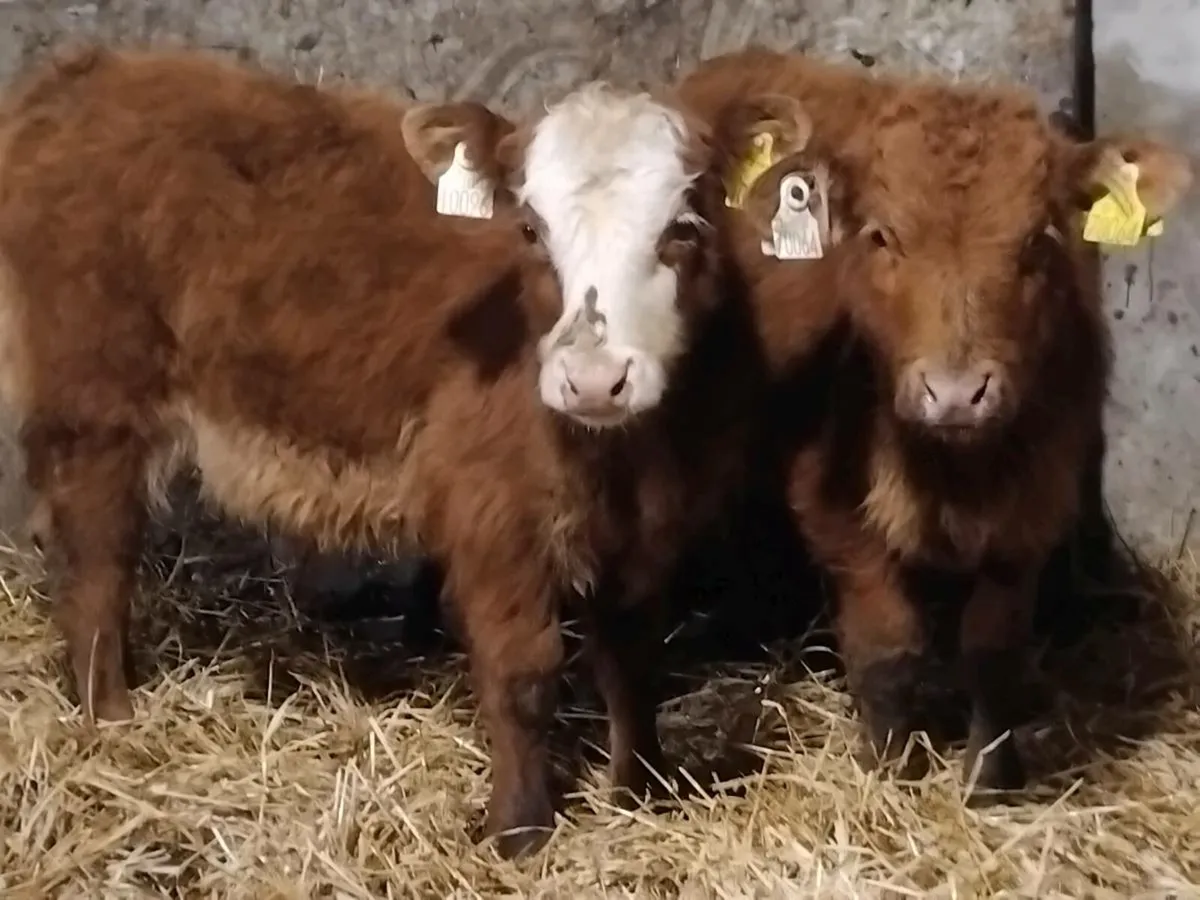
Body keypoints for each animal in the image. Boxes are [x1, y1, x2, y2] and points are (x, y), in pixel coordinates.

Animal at [0, 44, 812, 857]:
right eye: (529, 229)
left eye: (684, 227)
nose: (591, 379)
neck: (622, 456)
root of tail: (89, 71)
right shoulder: (492, 508)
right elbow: (523, 671)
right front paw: (518, 830)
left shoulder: (655, 517)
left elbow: (633, 655)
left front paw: (641, 791)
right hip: (93, 403)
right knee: (99, 560)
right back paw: (110, 716)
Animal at [663, 48, 1193, 798]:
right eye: (882, 235)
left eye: (1039, 242)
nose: (957, 393)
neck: (953, 470)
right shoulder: (836, 511)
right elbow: (888, 649)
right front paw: (890, 771)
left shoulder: (1035, 503)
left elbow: (994, 650)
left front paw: (991, 779)